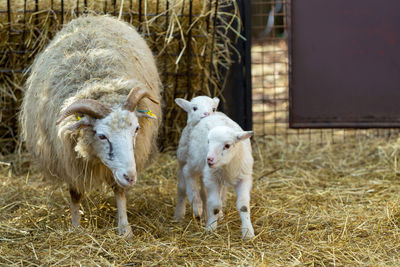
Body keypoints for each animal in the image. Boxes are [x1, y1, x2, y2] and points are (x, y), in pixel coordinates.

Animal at [18, 14, 162, 238]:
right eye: (102, 136)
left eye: (136, 129)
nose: (130, 177)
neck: (97, 81)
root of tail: (92, 15)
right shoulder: (69, 160)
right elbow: (75, 193)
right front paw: (76, 226)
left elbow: (119, 191)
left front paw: (125, 228)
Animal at [173, 112, 255, 240]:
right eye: (208, 142)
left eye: (227, 145)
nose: (209, 159)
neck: (228, 165)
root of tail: (213, 113)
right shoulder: (211, 178)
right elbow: (215, 205)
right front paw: (211, 228)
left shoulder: (244, 178)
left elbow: (244, 205)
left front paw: (248, 233)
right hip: (187, 158)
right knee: (185, 179)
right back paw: (187, 210)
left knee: (206, 193)